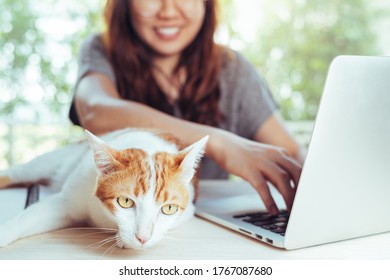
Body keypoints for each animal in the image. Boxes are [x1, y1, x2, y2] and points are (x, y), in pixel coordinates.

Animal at [0, 129, 209, 249]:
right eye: (125, 202)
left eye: (169, 209)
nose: (143, 238)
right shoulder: (68, 199)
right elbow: (28, 217)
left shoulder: (188, 210)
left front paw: (123, 240)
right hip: (48, 163)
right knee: (20, 171)